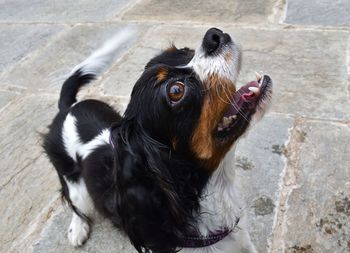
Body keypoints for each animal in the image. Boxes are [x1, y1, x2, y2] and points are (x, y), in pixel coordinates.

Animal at [43, 26, 274, 252]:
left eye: (185, 51)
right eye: (176, 90)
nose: (214, 35)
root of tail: (68, 108)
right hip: (76, 187)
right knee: (75, 203)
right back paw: (77, 228)